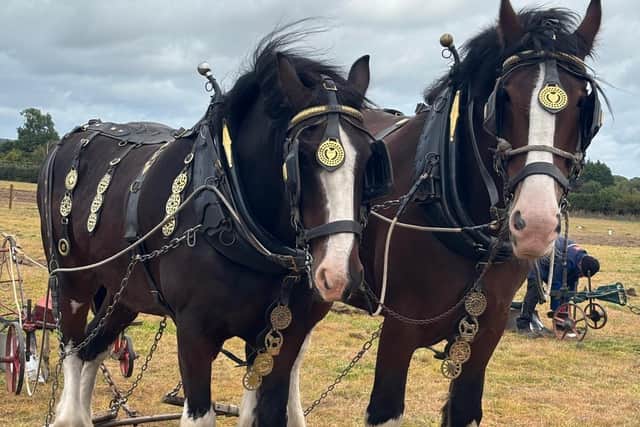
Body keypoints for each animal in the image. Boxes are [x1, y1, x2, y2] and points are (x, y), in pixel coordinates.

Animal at [37, 28, 388, 427]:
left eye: (369, 158)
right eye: (299, 157)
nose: (339, 273)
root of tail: (65, 141)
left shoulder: (281, 339)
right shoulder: (195, 334)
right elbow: (200, 414)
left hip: (122, 293)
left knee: (91, 351)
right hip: (72, 282)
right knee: (72, 350)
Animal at [350, 1, 604, 426]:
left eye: (585, 105)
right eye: (504, 98)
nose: (535, 225)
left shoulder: (486, 331)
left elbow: (465, 408)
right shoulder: (399, 329)